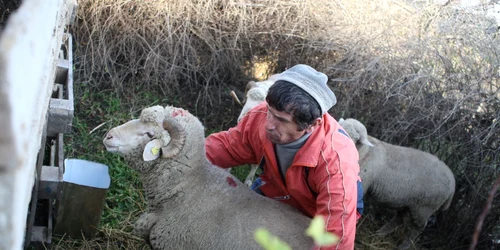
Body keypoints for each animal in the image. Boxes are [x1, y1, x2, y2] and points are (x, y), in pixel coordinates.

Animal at [338, 118, 456, 249]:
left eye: (354, 138)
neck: (365, 152)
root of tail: (452, 182)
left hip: (424, 207)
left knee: (418, 227)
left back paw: (404, 245)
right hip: (409, 203)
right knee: (399, 218)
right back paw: (380, 233)